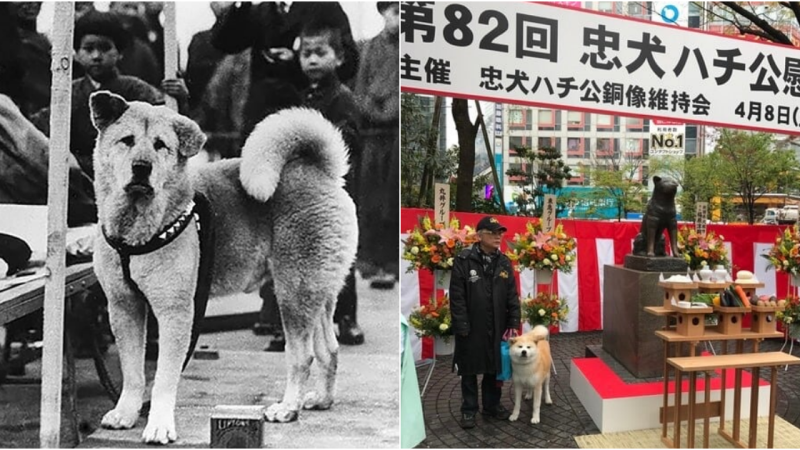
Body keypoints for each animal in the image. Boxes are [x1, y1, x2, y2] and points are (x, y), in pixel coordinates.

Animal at [89, 91, 358, 442]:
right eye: (127, 140)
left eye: (161, 145)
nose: (141, 167)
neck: (136, 231)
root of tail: (319, 172)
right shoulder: (124, 307)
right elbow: (133, 372)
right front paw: (126, 413)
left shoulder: (176, 313)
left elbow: (163, 377)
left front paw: (159, 424)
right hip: (318, 293)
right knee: (329, 349)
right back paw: (321, 400)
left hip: (293, 294)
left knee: (303, 356)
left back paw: (287, 408)